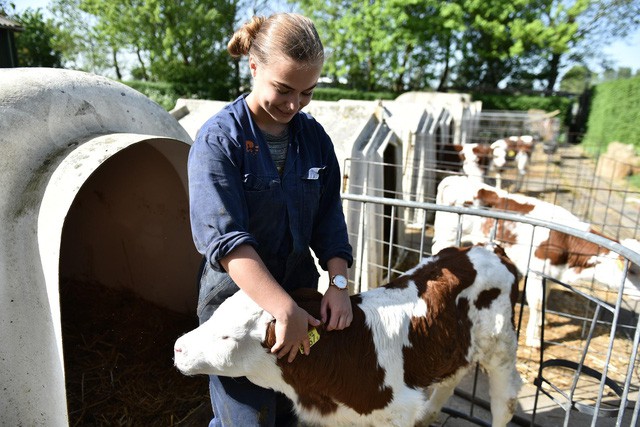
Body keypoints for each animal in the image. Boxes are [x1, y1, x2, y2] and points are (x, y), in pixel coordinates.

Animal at [174, 246, 520, 426]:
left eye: (227, 338)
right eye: (215, 315)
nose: (177, 347)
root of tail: (490, 251)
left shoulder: (396, 413)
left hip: (501, 347)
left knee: (504, 401)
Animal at [430, 176, 640, 348]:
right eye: (634, 271)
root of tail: (457, 179)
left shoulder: (550, 274)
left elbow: (544, 301)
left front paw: (542, 323)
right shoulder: (537, 272)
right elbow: (538, 303)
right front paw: (533, 339)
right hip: (448, 235)